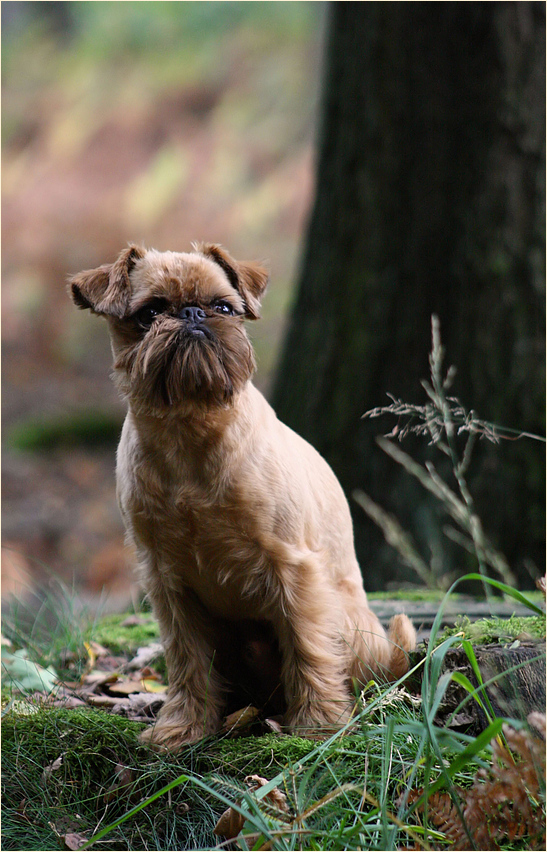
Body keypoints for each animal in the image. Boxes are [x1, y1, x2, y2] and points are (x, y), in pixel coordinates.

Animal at [70, 243, 418, 748]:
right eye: (150, 312)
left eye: (223, 307)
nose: (193, 313)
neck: (190, 431)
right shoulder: (168, 584)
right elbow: (187, 659)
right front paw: (183, 727)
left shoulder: (294, 570)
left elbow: (308, 647)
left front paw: (319, 725)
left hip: (351, 624)